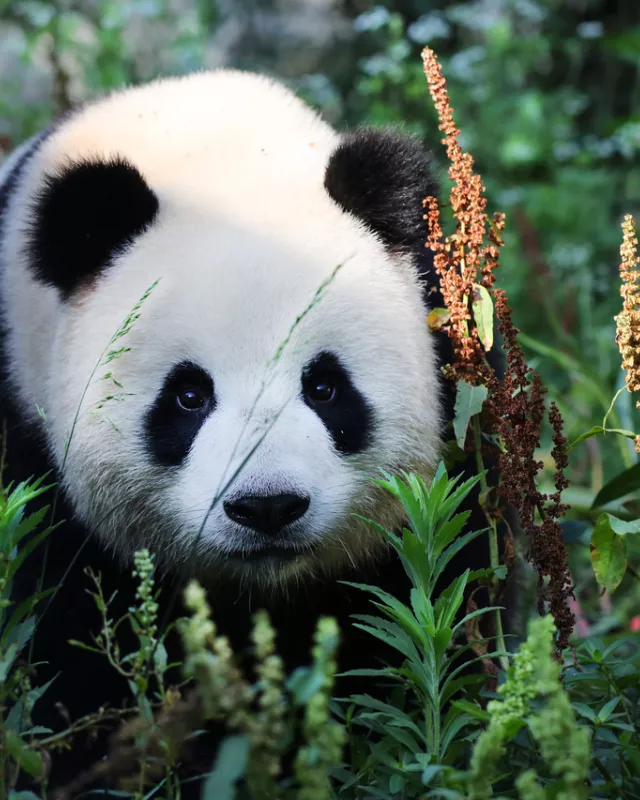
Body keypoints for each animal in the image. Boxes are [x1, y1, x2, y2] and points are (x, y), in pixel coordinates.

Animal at [0, 70, 494, 793]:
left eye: (324, 387)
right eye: (187, 395)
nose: (267, 507)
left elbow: (430, 597)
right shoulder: (27, 440)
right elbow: (69, 649)